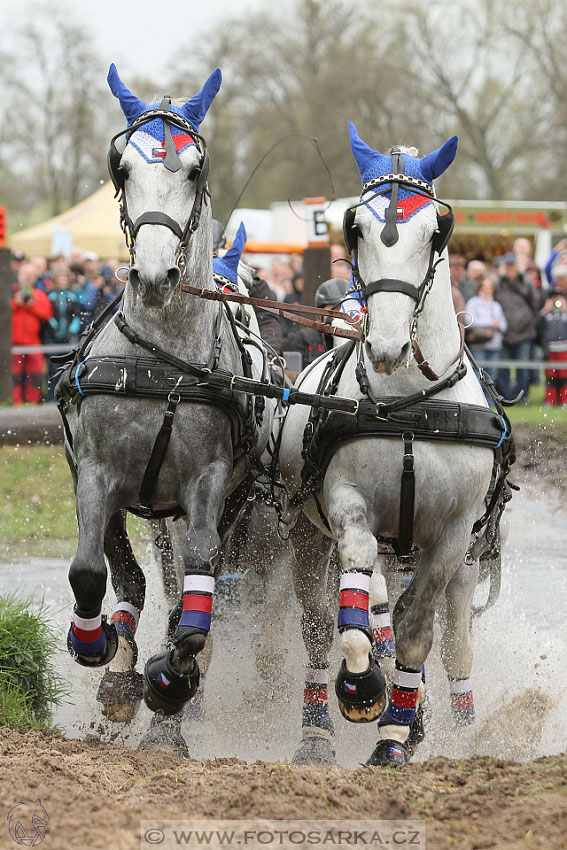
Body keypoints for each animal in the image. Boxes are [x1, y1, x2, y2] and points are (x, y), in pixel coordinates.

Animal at [58, 63, 278, 744]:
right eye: (122, 167)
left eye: (195, 170)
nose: (155, 278)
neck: (163, 366)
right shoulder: (96, 470)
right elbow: (95, 569)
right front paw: (104, 652)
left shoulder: (209, 483)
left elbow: (197, 590)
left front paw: (170, 684)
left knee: (196, 580)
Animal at [276, 126, 516, 768]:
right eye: (355, 225)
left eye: (437, 229)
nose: (385, 345)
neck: (411, 403)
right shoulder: (347, 504)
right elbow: (359, 605)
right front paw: (362, 685)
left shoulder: (453, 535)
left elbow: (414, 631)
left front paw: (395, 736)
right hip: (308, 535)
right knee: (320, 622)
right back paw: (316, 729)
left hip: (462, 560)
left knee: (452, 643)